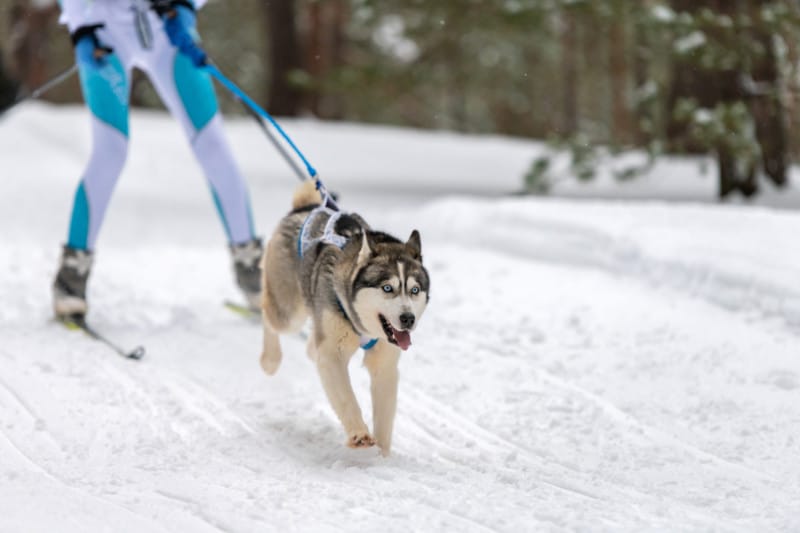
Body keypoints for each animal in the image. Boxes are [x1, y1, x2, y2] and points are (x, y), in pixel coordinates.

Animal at [260, 181, 428, 456]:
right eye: (387, 288)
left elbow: (385, 413)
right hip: (287, 311)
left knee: (311, 345)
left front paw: (383, 455)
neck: (363, 326)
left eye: (414, 290)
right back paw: (270, 359)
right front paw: (359, 434)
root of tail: (305, 207)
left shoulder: (384, 361)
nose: (408, 319)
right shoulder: (333, 353)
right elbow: (346, 397)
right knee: (268, 313)